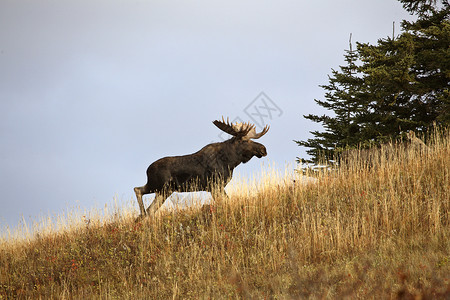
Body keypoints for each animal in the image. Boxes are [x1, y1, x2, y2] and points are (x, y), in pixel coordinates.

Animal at [133, 116, 268, 218]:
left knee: (150, 208)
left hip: (164, 191)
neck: (230, 162)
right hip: (158, 186)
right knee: (137, 190)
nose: (263, 149)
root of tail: (147, 170)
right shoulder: (214, 185)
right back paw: (142, 214)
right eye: (244, 141)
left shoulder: (218, 186)